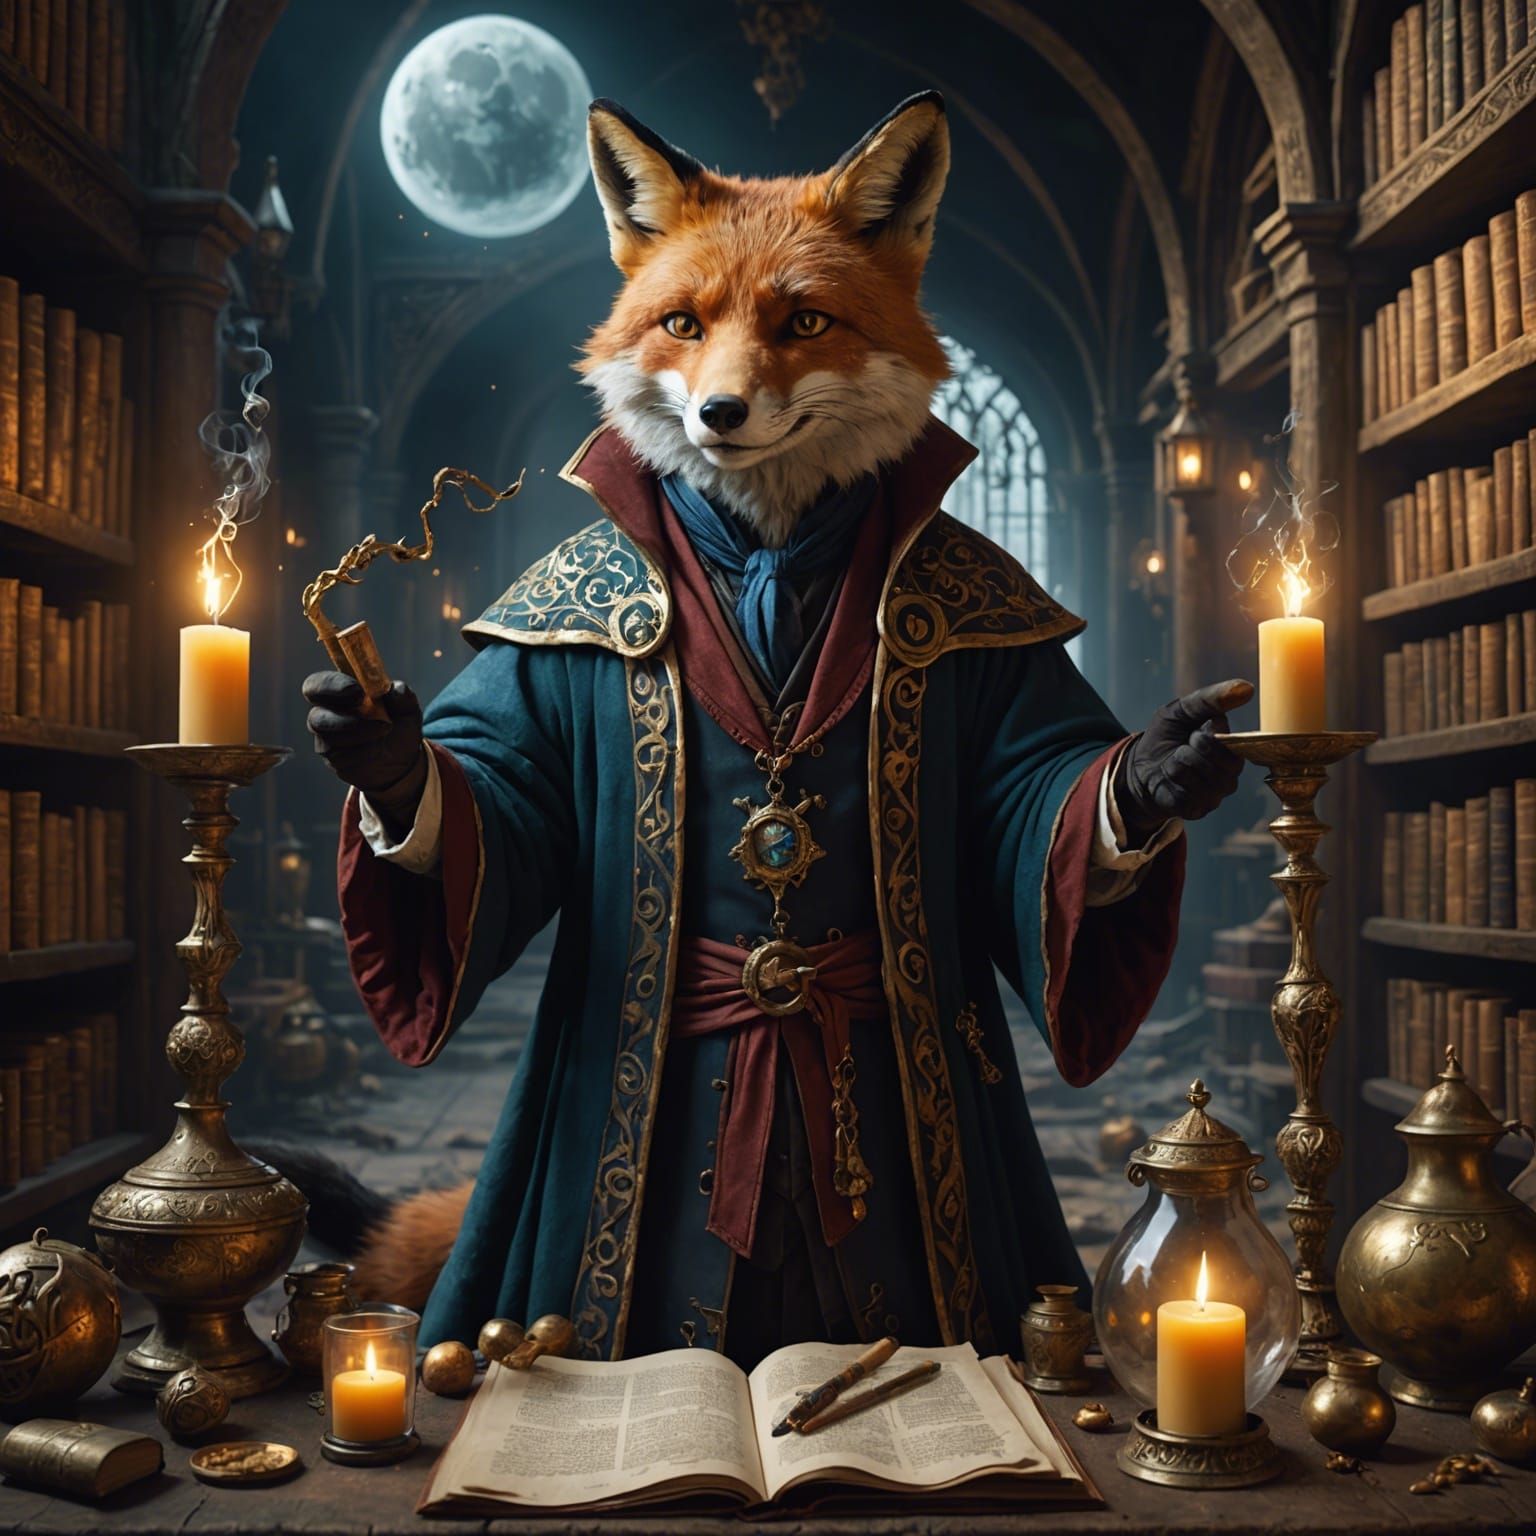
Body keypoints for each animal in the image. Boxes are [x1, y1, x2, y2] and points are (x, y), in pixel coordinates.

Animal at [278, 92, 958, 1311]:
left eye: (804, 322)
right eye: (684, 324)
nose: (722, 412)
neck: (767, 560)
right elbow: (500, 829)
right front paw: (391, 770)